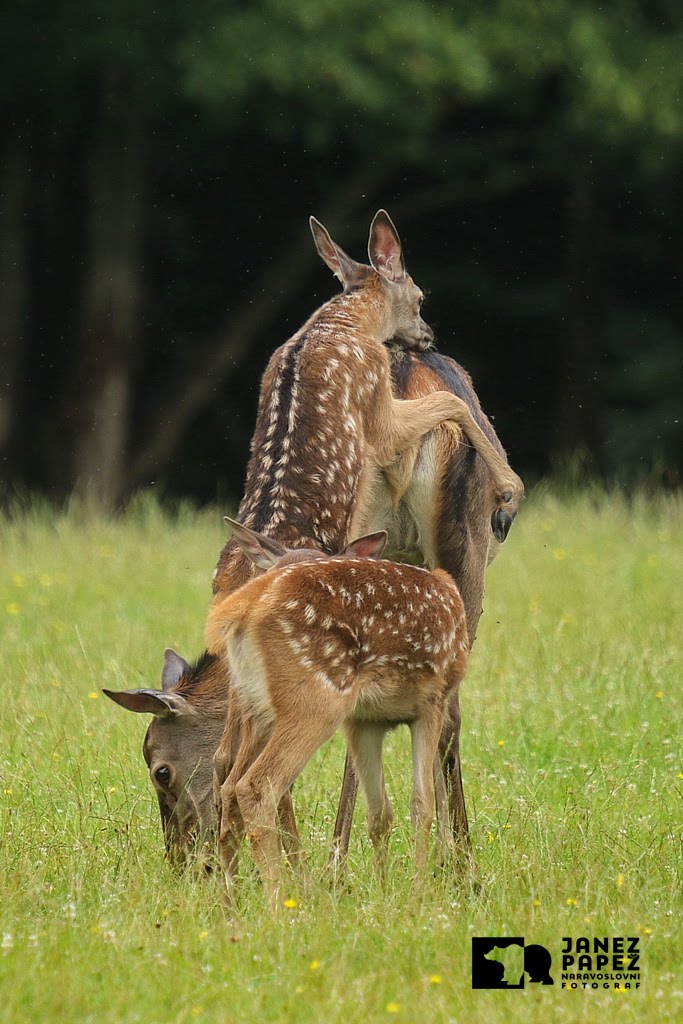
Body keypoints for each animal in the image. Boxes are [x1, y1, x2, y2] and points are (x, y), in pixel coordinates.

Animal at [102, 214, 524, 864]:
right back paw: (413, 861)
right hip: (443, 559)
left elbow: (234, 762)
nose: (184, 861)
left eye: (159, 769)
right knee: (437, 713)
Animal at [204, 520, 471, 905]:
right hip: (314, 701)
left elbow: (379, 813)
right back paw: (278, 904)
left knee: (228, 786)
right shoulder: (431, 700)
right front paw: (419, 895)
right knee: (256, 786)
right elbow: (422, 805)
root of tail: (245, 605)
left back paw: (229, 905)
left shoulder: (364, 720)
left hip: (257, 708)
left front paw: (385, 892)